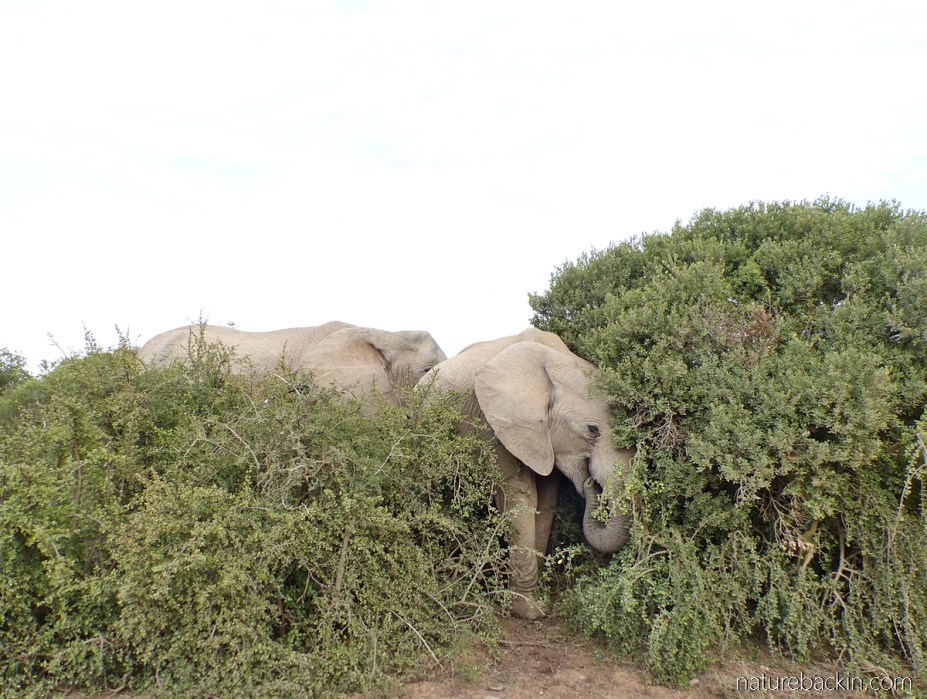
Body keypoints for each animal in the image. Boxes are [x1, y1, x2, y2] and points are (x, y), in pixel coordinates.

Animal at [419, 328, 634, 620]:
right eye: (593, 430)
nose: (590, 481)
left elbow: (545, 500)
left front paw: (538, 602)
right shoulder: (495, 423)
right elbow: (521, 495)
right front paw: (529, 611)